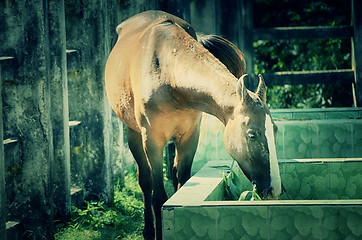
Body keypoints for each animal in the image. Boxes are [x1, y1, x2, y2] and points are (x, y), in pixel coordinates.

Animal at [104, 10, 280, 239]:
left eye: (275, 131)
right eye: (252, 134)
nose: (274, 190)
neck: (167, 72)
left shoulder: (189, 137)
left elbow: (181, 183)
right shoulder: (152, 141)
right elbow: (158, 196)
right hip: (133, 133)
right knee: (145, 182)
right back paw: (148, 231)